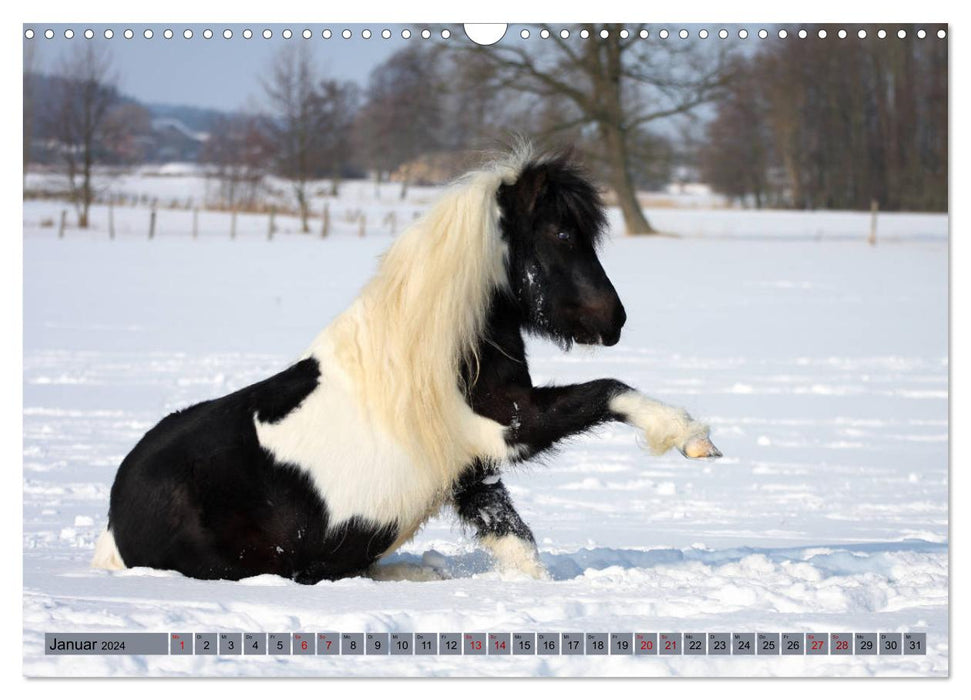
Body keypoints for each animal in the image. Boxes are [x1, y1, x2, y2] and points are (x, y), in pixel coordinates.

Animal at [93, 149, 720, 584]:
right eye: (562, 232)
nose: (613, 320)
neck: (435, 357)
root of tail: (116, 522)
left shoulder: (472, 475)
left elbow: (515, 540)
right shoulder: (511, 425)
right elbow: (610, 389)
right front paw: (691, 438)